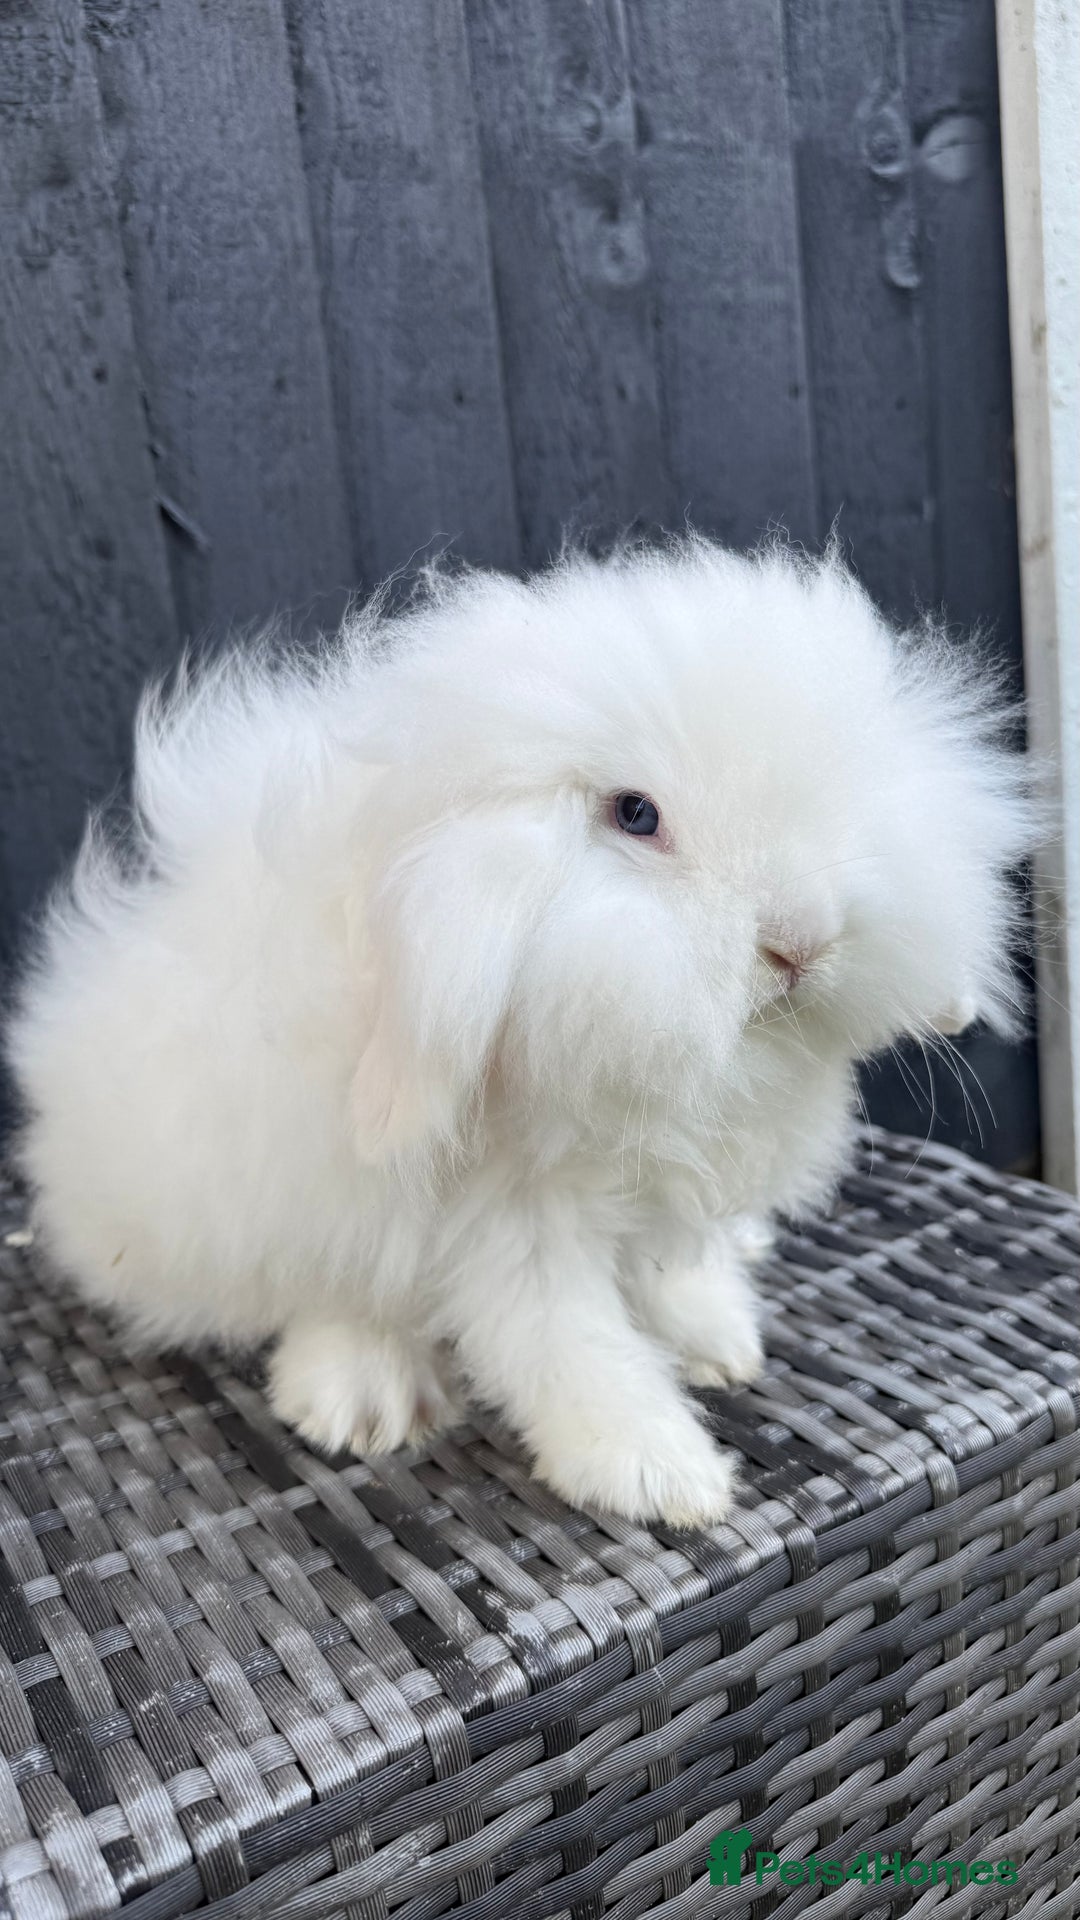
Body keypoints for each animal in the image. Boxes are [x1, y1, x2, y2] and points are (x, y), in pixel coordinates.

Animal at [5, 538, 1034, 1526]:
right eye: (635, 814)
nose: (802, 942)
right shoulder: (513, 1221)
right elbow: (564, 1341)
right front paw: (659, 1478)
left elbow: (665, 1272)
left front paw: (716, 1339)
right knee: (321, 1291)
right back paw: (360, 1401)